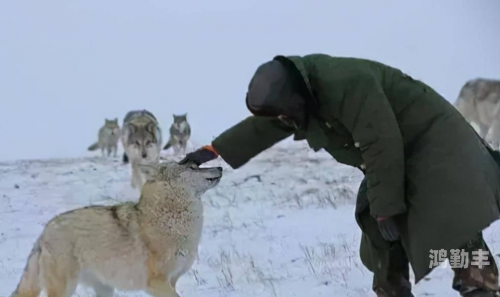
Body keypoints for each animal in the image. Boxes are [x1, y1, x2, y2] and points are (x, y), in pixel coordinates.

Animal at [9, 161, 224, 296]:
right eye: (193, 167)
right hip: (65, 288)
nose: (221, 166)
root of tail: (44, 232)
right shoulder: (156, 283)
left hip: (104, 289)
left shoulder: (172, 281)